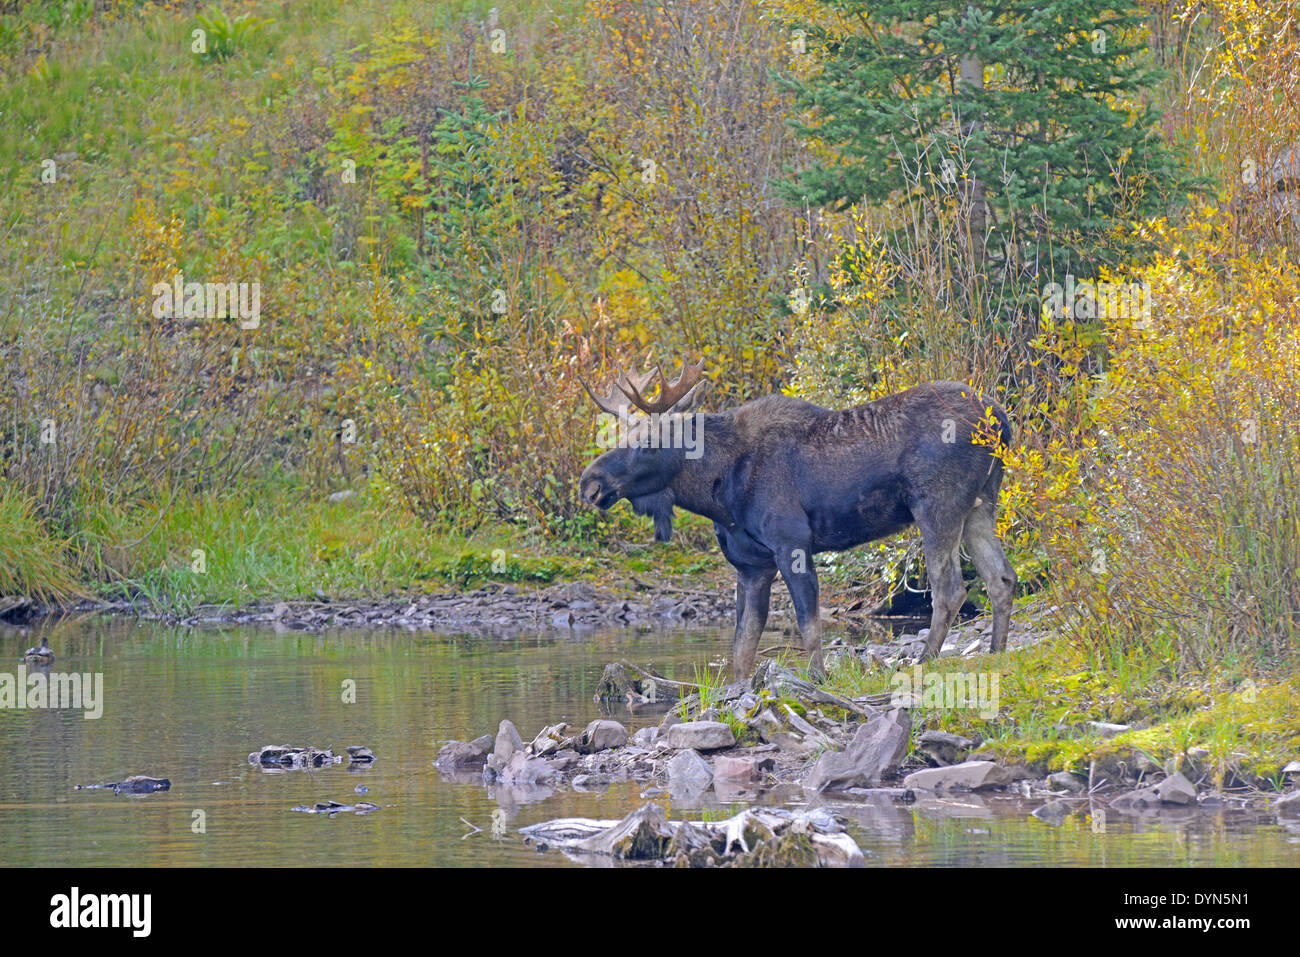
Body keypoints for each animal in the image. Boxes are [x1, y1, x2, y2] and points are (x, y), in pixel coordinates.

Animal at [577, 359, 1016, 680]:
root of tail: (1002, 420)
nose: (590, 482)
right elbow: (742, 645)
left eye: (649, 443)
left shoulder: (792, 542)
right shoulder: (751, 565)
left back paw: (924, 661)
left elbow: (809, 625)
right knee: (1001, 578)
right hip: (980, 505)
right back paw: (997, 652)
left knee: (950, 589)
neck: (716, 493)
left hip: (936, 504)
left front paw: (819, 678)